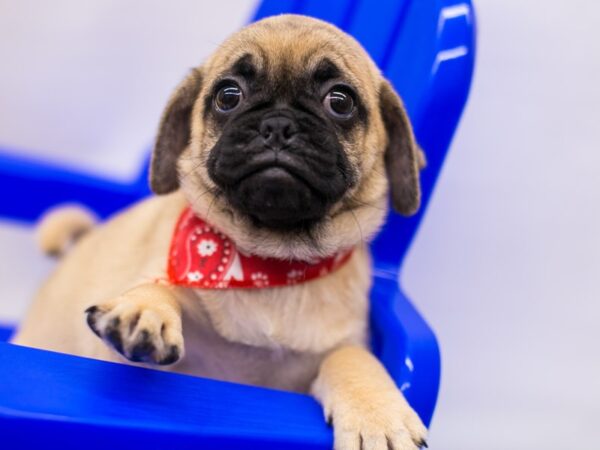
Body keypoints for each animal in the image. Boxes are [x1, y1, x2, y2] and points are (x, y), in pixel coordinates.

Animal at [12, 14, 426, 450]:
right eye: (228, 96)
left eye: (341, 101)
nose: (277, 124)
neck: (268, 264)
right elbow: (161, 288)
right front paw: (144, 310)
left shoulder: (340, 346)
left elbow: (352, 357)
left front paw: (377, 413)